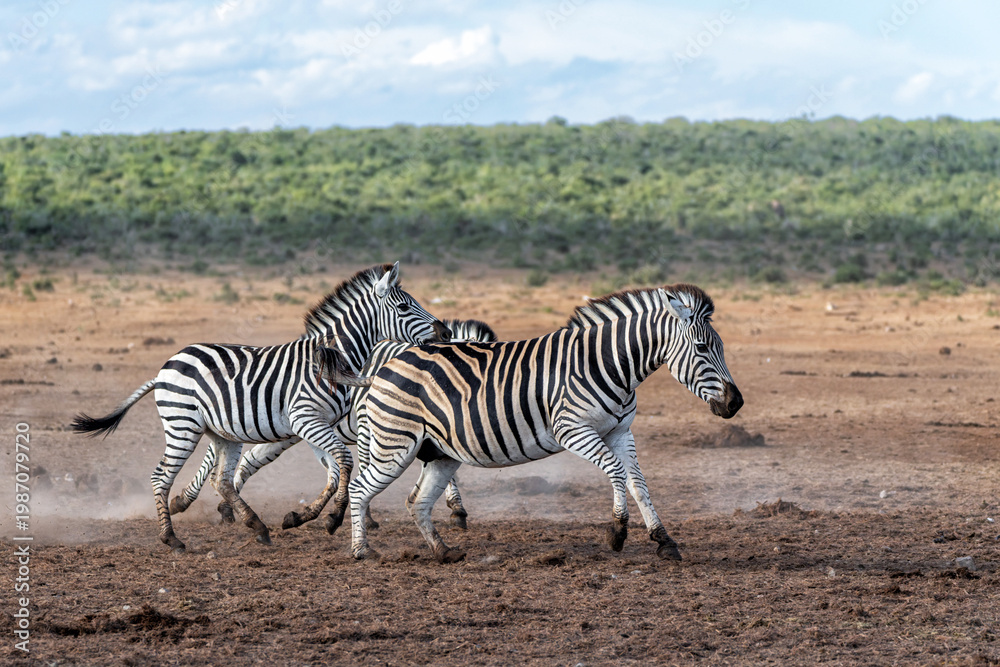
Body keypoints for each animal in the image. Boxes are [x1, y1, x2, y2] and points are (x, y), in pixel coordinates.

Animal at [72, 263, 451, 552]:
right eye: (404, 308)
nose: (445, 332)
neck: (331, 359)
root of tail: (168, 364)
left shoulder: (316, 423)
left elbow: (333, 470)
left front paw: (306, 516)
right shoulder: (305, 419)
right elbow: (343, 462)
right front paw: (333, 518)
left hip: (222, 432)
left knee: (222, 480)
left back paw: (256, 526)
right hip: (182, 425)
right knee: (161, 476)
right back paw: (171, 538)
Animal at [349, 283, 743, 563]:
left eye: (720, 347)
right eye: (703, 348)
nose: (735, 403)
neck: (610, 364)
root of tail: (386, 362)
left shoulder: (619, 431)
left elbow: (638, 483)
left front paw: (664, 541)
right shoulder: (573, 430)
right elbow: (616, 472)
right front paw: (617, 532)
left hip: (440, 453)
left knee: (416, 501)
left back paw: (443, 552)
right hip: (394, 443)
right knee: (358, 488)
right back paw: (362, 551)